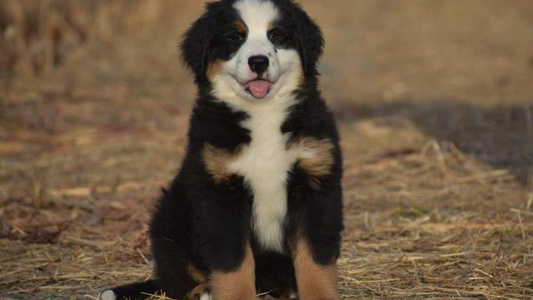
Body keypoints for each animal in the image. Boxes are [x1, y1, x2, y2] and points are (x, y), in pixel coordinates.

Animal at [98, 0, 340, 300]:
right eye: (234, 37)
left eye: (276, 35)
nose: (258, 62)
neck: (263, 114)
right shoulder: (218, 193)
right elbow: (233, 261)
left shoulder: (315, 184)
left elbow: (314, 258)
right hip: (170, 218)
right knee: (176, 280)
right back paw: (203, 290)